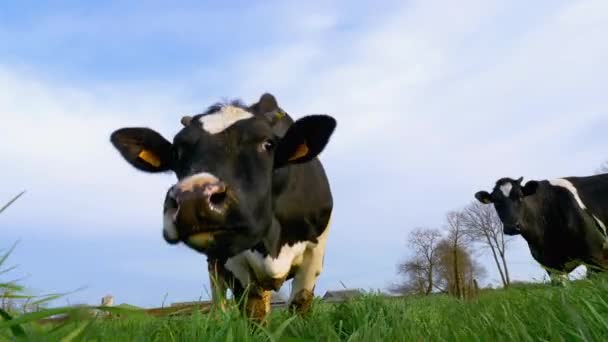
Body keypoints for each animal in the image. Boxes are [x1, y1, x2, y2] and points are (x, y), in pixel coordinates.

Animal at [110, 93, 338, 318]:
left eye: (268, 144)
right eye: (176, 152)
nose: (193, 199)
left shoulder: (314, 253)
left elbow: (300, 305)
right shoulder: (235, 261)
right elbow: (253, 311)